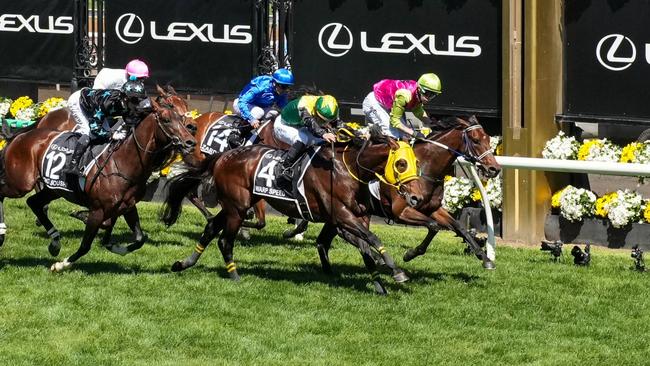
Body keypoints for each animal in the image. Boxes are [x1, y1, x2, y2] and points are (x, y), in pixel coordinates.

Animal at [0, 98, 195, 270]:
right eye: (166, 119)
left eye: (181, 118)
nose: (190, 142)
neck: (123, 161)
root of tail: (22, 135)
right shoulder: (98, 210)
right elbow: (85, 246)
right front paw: (61, 265)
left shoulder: (128, 206)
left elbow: (140, 238)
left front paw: (114, 246)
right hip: (20, 183)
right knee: (5, 194)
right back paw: (3, 233)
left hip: (53, 189)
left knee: (33, 202)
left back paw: (55, 242)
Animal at [162, 137, 426, 294]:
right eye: (401, 164)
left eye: (416, 162)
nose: (416, 198)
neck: (348, 170)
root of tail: (224, 155)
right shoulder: (341, 217)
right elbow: (372, 239)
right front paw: (397, 271)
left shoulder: (352, 219)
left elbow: (365, 249)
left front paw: (379, 284)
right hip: (237, 206)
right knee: (225, 240)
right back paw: (235, 275)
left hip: (235, 205)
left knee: (210, 228)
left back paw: (184, 263)